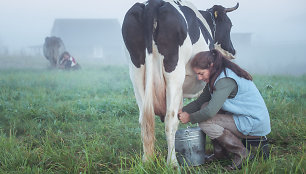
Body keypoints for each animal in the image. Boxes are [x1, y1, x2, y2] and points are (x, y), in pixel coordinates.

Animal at [122, 0, 239, 167]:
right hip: (174, 73)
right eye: (229, 25)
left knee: (144, 119)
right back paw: (172, 163)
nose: (233, 51)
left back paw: (147, 160)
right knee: (170, 120)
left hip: (136, 73)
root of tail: (152, 4)